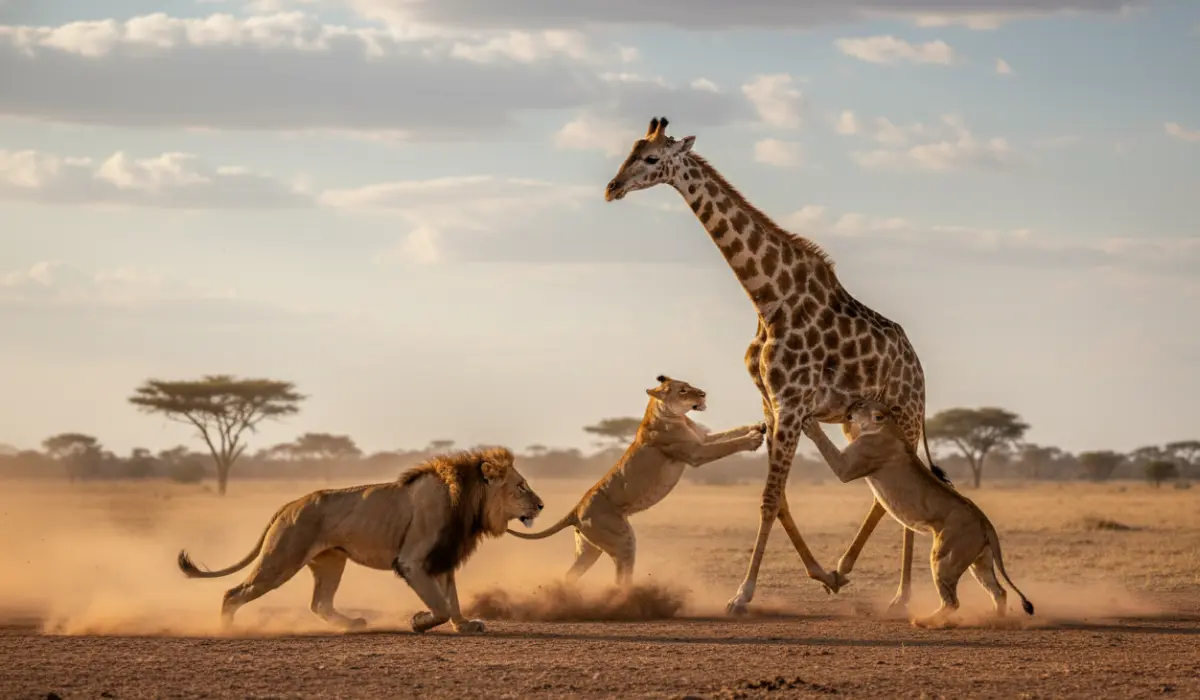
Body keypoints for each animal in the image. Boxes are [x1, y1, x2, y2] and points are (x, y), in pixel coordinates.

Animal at [176, 446, 544, 634]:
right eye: (521, 486)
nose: (541, 505)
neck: (470, 503)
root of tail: (290, 505)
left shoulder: (443, 557)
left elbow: (452, 600)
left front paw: (466, 625)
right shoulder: (412, 561)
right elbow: (439, 605)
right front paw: (419, 622)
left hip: (331, 561)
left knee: (319, 604)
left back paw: (352, 624)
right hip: (281, 560)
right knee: (233, 593)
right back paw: (226, 630)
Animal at [506, 375, 765, 585]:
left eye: (689, 385)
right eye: (683, 390)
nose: (702, 394)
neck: (677, 416)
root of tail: (576, 509)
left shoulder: (702, 438)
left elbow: (729, 433)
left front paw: (758, 426)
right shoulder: (695, 453)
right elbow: (729, 444)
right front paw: (753, 439)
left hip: (590, 549)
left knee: (571, 575)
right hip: (622, 540)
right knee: (620, 577)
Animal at [602, 116, 944, 615]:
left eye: (650, 158)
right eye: (628, 151)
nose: (612, 188)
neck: (768, 299)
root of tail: (920, 368)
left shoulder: (791, 402)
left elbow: (767, 500)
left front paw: (741, 595)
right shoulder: (771, 403)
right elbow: (779, 500)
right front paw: (821, 575)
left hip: (905, 413)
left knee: (901, 492)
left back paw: (898, 595)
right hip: (863, 424)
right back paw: (853, 574)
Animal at [802, 399, 1035, 628]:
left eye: (861, 405)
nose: (852, 404)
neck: (888, 426)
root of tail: (985, 521)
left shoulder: (848, 466)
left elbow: (828, 448)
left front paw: (811, 425)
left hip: (945, 557)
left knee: (953, 601)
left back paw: (924, 621)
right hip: (980, 560)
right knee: (999, 591)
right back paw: (997, 620)